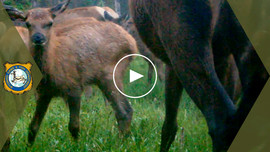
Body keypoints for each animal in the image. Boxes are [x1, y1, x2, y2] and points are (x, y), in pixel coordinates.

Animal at [6, 0, 137, 145]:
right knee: (124, 110)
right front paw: (29, 146)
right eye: (28, 23)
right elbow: (33, 127)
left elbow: (74, 126)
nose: (38, 38)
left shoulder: (74, 87)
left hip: (110, 74)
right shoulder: (44, 93)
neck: (50, 69)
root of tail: (132, 42)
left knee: (124, 110)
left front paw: (77, 145)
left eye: (50, 23)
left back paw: (123, 141)